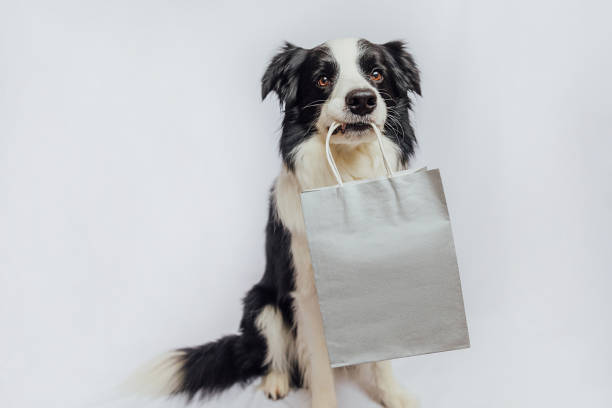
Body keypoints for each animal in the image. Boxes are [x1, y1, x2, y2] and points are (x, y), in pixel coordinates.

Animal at [145, 37, 420, 404]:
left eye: (377, 74)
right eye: (322, 79)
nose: (362, 99)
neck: (348, 171)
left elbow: (384, 357)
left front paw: (393, 396)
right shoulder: (306, 294)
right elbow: (319, 366)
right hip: (262, 306)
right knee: (274, 357)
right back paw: (276, 382)